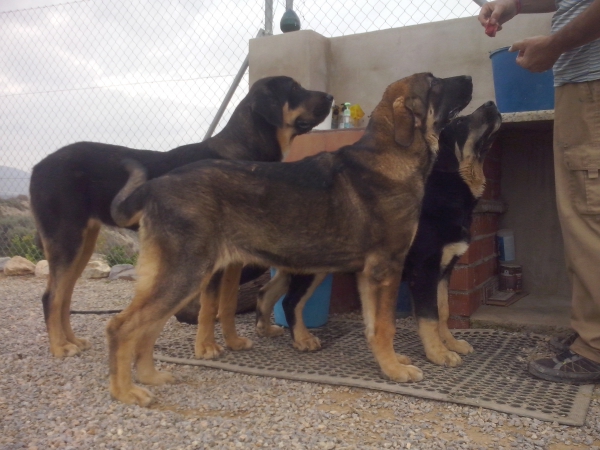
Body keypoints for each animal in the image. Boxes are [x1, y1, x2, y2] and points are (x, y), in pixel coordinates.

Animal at [29, 76, 332, 358]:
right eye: (294, 88)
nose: (331, 97)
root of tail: (38, 165)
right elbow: (209, 307)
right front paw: (206, 347)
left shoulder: (233, 261)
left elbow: (228, 304)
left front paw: (233, 342)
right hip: (67, 239)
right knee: (51, 297)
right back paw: (60, 347)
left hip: (83, 242)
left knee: (64, 296)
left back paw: (72, 340)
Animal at [106, 72, 474, 406]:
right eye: (434, 83)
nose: (471, 78)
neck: (392, 154)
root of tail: (153, 187)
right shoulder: (387, 270)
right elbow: (387, 326)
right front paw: (396, 370)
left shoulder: (372, 275)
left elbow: (374, 326)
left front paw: (391, 364)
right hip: (185, 273)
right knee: (122, 326)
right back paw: (126, 391)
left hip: (179, 276)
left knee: (147, 327)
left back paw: (150, 376)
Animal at [253, 100, 502, 360]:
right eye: (460, 122)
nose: (491, 103)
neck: (448, 191)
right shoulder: (425, 270)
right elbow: (429, 316)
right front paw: (438, 353)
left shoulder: (445, 270)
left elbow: (443, 311)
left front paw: (451, 344)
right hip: (312, 267)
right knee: (290, 301)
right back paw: (302, 339)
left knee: (266, 292)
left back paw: (266, 329)